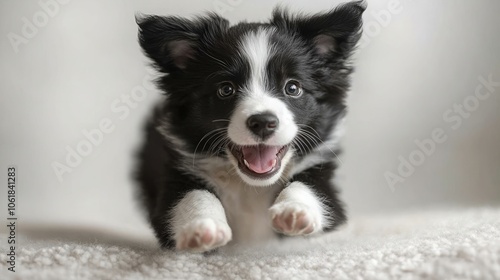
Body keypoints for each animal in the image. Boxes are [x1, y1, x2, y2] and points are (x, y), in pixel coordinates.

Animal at [135, 1, 366, 252]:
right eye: (226, 89)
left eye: (292, 87)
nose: (263, 122)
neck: (250, 185)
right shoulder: (178, 175)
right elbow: (191, 196)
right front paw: (202, 227)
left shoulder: (324, 182)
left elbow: (310, 188)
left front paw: (294, 211)